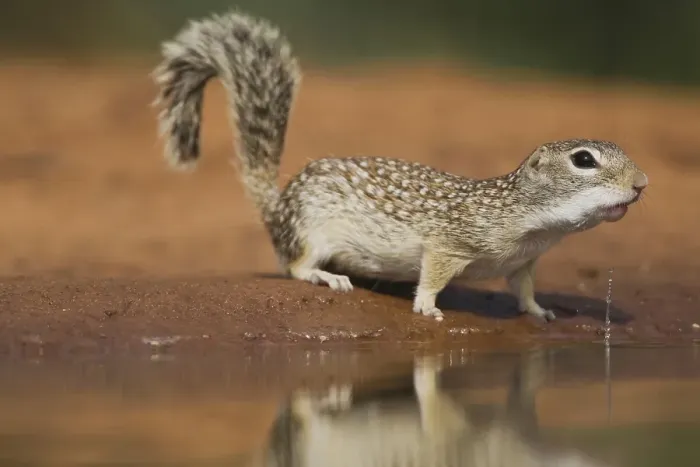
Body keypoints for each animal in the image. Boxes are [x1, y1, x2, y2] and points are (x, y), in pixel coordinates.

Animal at [152, 10, 648, 323]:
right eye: (584, 160)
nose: (642, 183)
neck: (530, 220)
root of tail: (277, 207)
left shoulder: (524, 263)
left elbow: (523, 290)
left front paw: (539, 310)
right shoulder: (449, 245)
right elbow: (432, 275)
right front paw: (427, 306)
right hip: (311, 230)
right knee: (295, 267)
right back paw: (327, 276)